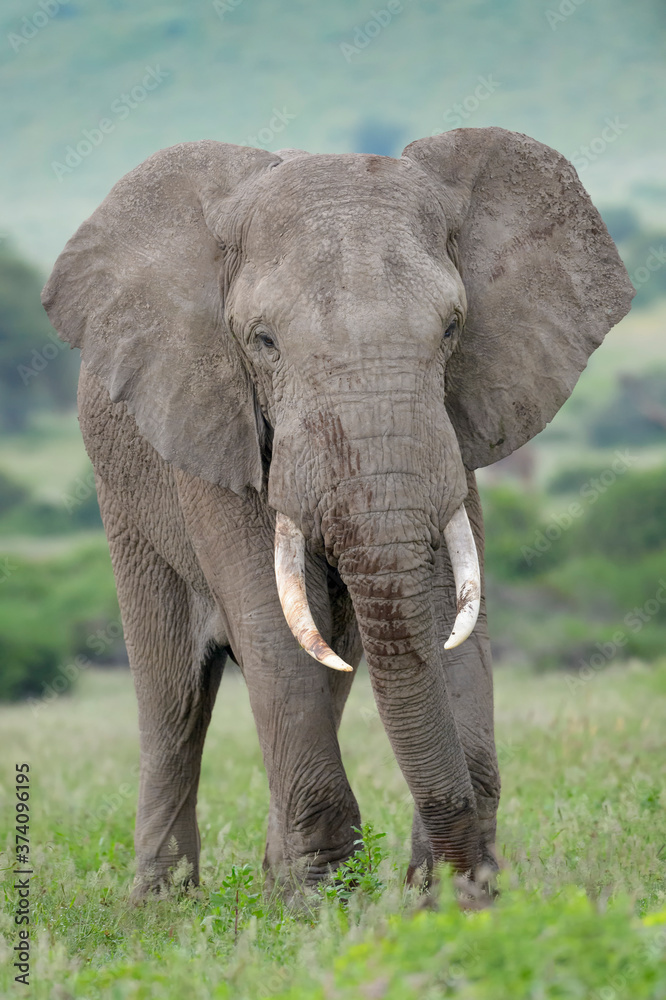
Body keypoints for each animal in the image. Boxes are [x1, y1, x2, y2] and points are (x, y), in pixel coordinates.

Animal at [41, 127, 634, 899]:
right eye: (261, 340)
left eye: (453, 329)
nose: (470, 883)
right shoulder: (212, 425)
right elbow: (271, 626)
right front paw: (319, 905)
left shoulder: (455, 430)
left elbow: (442, 613)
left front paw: (441, 899)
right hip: (126, 502)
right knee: (174, 699)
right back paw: (162, 908)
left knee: (332, 668)